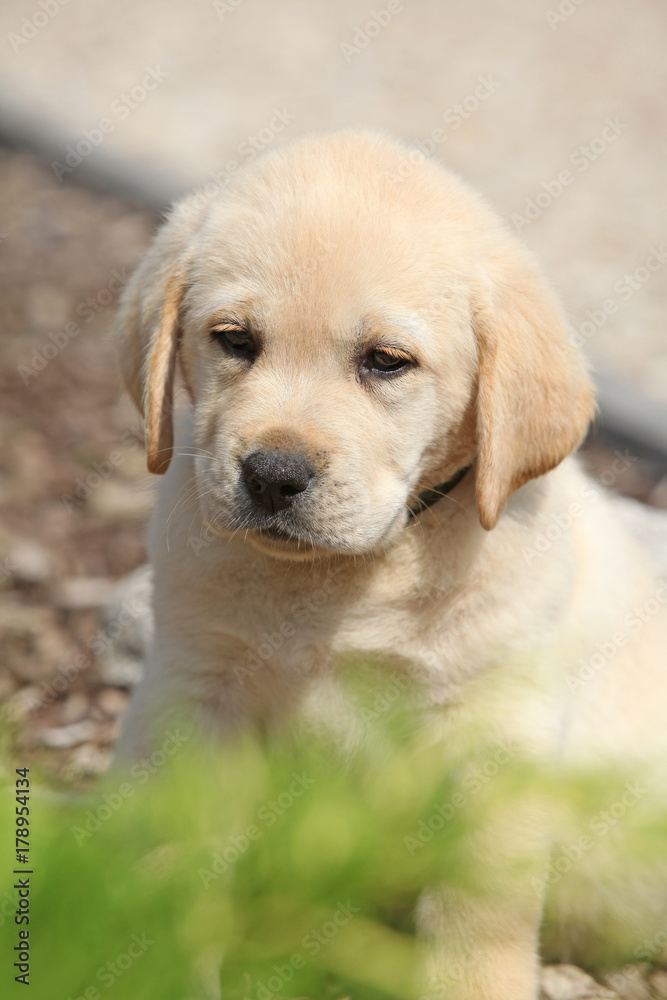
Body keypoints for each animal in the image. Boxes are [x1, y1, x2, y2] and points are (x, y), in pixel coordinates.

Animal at [115, 129, 667, 996]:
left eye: (384, 361)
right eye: (234, 340)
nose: (272, 474)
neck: (344, 580)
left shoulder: (491, 743)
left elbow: (476, 916)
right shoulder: (194, 692)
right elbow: (175, 859)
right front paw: (161, 967)